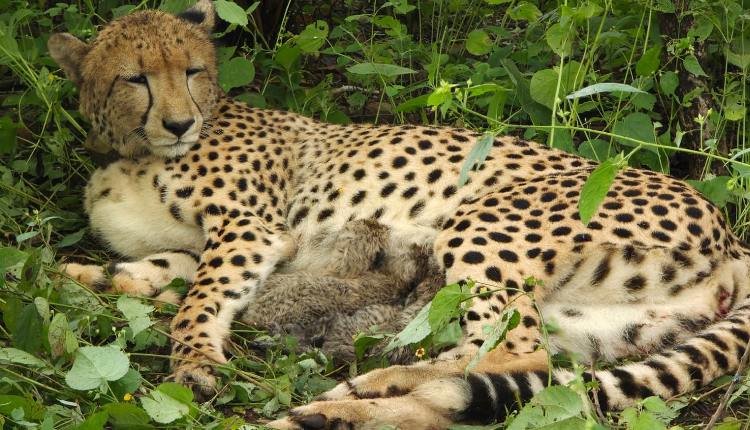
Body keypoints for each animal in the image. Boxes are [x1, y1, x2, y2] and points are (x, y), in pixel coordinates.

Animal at [47, 1, 750, 428]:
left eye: (192, 70)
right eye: (135, 78)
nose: (178, 122)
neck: (133, 150)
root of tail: (729, 232)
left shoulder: (249, 229)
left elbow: (198, 301)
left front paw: (193, 363)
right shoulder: (196, 245)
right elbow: (145, 272)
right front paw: (71, 279)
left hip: (484, 222)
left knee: (512, 356)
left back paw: (366, 389)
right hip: (600, 322)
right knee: (526, 370)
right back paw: (348, 405)